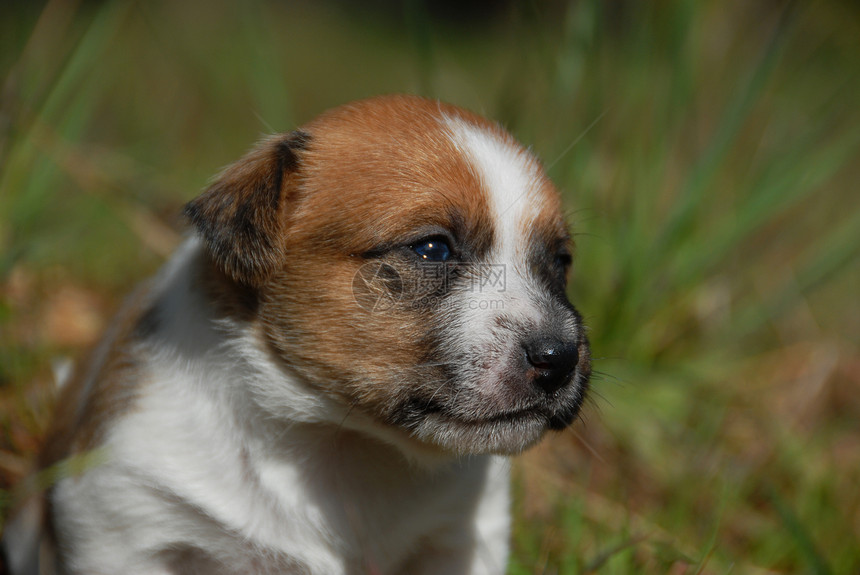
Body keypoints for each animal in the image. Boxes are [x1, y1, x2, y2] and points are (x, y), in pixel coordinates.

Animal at [1, 95, 592, 575]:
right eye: (432, 249)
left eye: (559, 262)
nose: (559, 358)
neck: (343, 441)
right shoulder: (124, 516)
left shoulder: (462, 537)